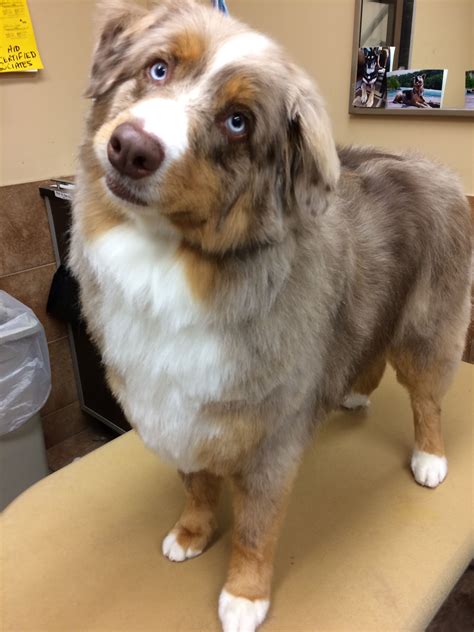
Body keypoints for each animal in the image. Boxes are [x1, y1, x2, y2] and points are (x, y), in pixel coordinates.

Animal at [68, 2, 472, 628]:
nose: (131, 148)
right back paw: (352, 393)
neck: (174, 263)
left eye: (238, 122)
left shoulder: (270, 438)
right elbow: (197, 488)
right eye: (158, 68)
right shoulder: (180, 410)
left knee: (426, 398)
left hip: (427, 330)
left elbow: (256, 528)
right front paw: (191, 534)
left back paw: (430, 459)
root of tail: (435, 165)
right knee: (368, 355)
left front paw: (245, 595)